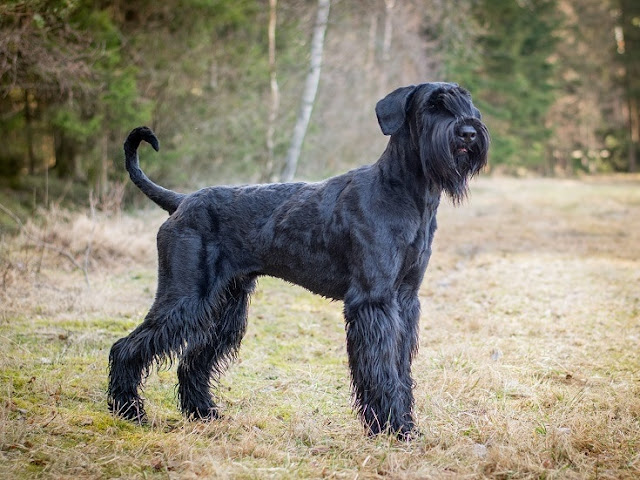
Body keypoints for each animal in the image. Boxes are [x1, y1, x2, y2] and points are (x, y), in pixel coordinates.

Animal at [109, 83, 490, 438]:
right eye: (432, 106)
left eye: (466, 102)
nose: (469, 132)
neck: (406, 192)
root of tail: (182, 201)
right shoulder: (374, 300)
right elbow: (382, 368)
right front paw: (393, 429)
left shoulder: (406, 300)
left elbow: (400, 367)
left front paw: (405, 425)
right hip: (185, 296)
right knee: (126, 347)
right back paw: (128, 410)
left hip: (224, 307)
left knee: (193, 360)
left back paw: (203, 413)